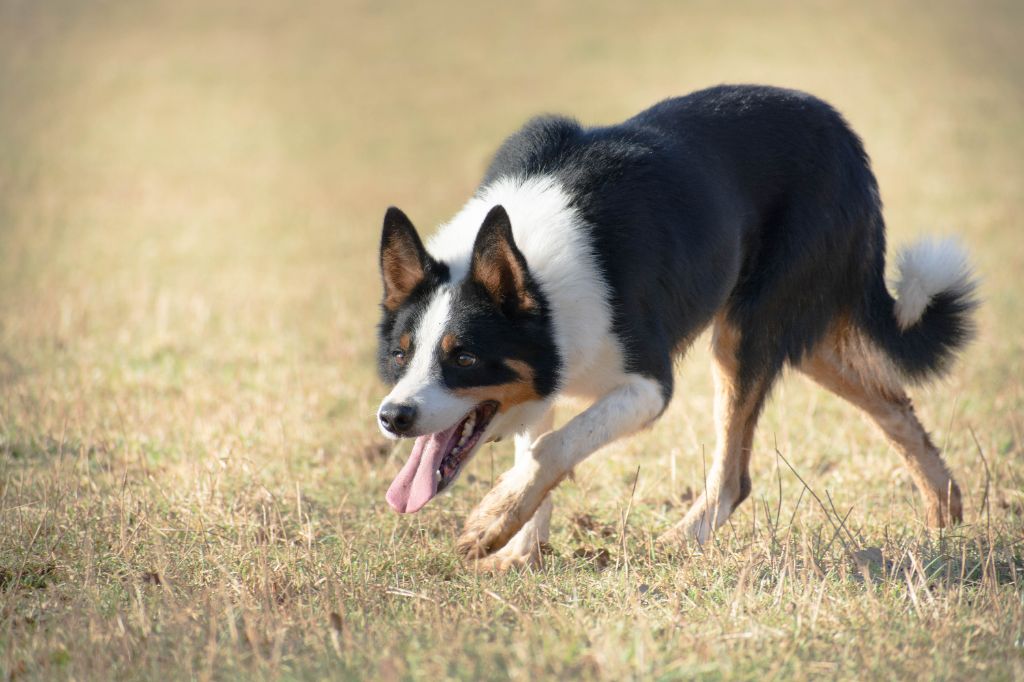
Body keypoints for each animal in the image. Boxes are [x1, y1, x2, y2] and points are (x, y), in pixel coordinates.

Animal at [374, 84, 977, 570]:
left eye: (464, 358)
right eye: (401, 355)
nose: (393, 417)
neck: (538, 275)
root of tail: (842, 133)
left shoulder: (647, 385)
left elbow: (552, 447)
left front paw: (488, 525)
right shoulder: (536, 380)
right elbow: (534, 453)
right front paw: (518, 550)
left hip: (745, 334)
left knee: (734, 479)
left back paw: (676, 545)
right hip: (804, 336)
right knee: (895, 406)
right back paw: (945, 520)